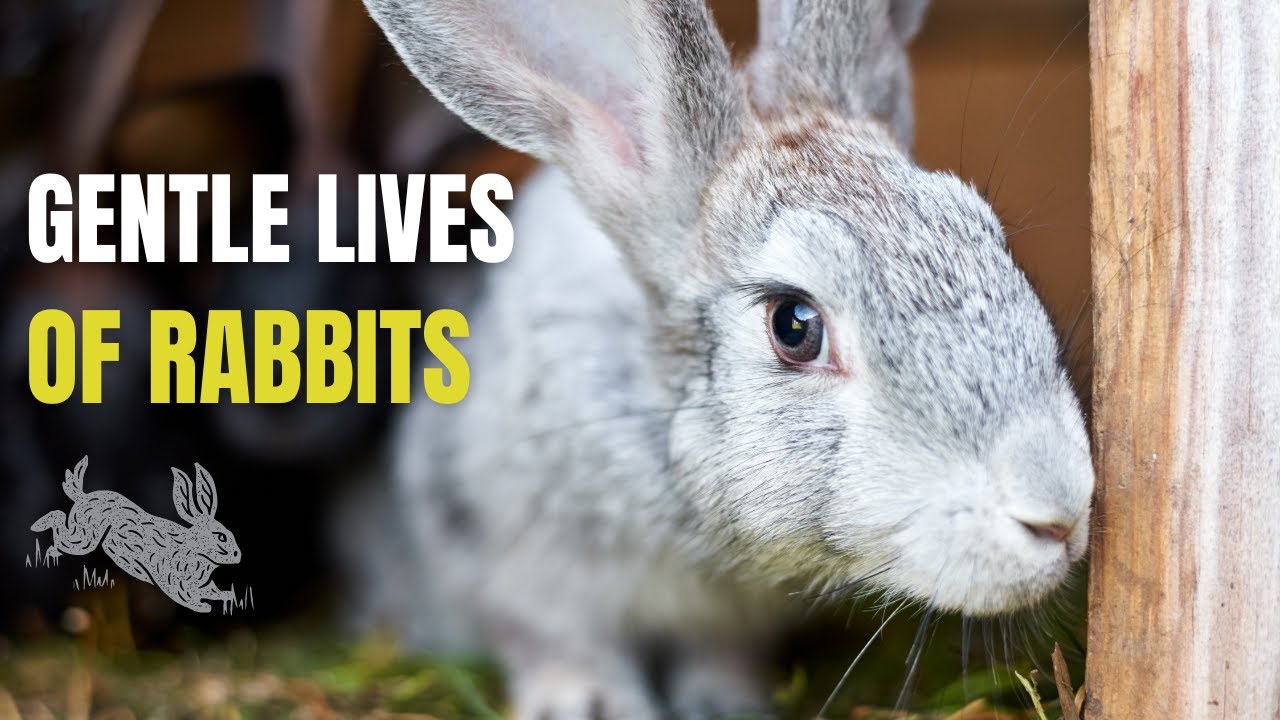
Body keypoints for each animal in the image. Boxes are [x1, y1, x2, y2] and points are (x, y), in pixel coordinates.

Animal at [31, 456, 242, 613]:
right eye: (221, 537)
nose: (238, 555)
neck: (194, 550)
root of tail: (82, 496)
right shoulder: (173, 580)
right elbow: (188, 597)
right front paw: (204, 606)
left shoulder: (201, 584)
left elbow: (212, 591)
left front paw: (228, 596)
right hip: (85, 538)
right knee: (58, 519)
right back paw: (39, 528)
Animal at [345, 0, 1095, 717]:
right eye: (794, 325)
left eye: (989, 238)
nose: (1060, 513)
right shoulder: (507, 557)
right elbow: (552, 636)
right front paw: (589, 705)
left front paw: (726, 701)